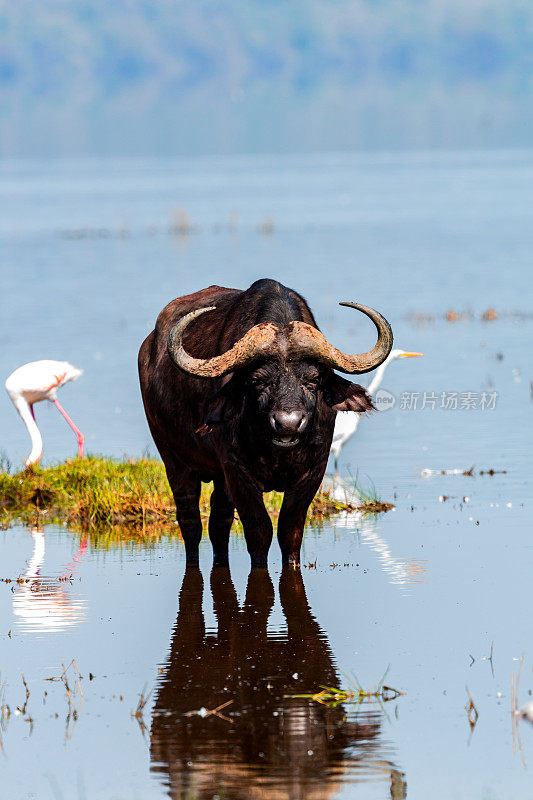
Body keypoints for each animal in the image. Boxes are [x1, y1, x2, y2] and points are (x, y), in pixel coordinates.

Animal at [137, 278, 390, 564]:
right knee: (190, 520)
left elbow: (290, 531)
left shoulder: (313, 471)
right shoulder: (237, 472)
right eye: (258, 380)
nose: (288, 423)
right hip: (174, 460)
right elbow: (259, 531)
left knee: (219, 520)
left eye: (313, 379)